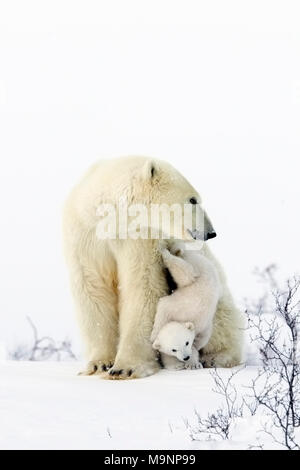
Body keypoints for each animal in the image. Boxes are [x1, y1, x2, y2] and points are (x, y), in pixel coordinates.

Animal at [63, 157, 244, 378]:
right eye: (193, 200)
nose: (211, 232)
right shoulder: (85, 235)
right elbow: (93, 287)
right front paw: (99, 364)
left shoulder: (142, 237)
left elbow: (143, 286)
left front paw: (125, 368)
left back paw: (215, 357)